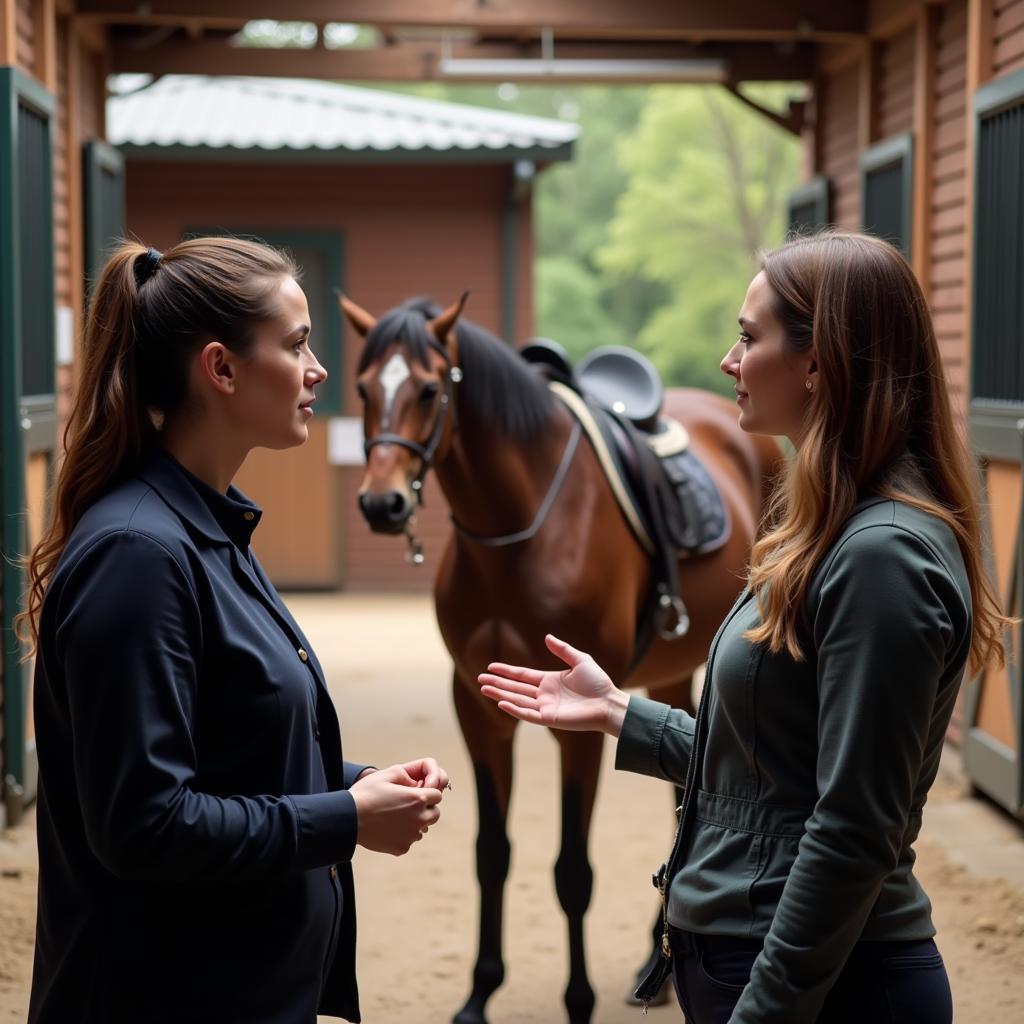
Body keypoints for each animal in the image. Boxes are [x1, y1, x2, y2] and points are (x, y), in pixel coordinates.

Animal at [339, 292, 778, 1019]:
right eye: (363, 388)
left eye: (429, 389)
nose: (381, 503)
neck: (518, 530)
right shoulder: (477, 707)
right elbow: (492, 853)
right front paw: (479, 993)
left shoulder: (579, 727)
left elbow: (573, 870)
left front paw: (578, 1000)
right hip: (677, 674)